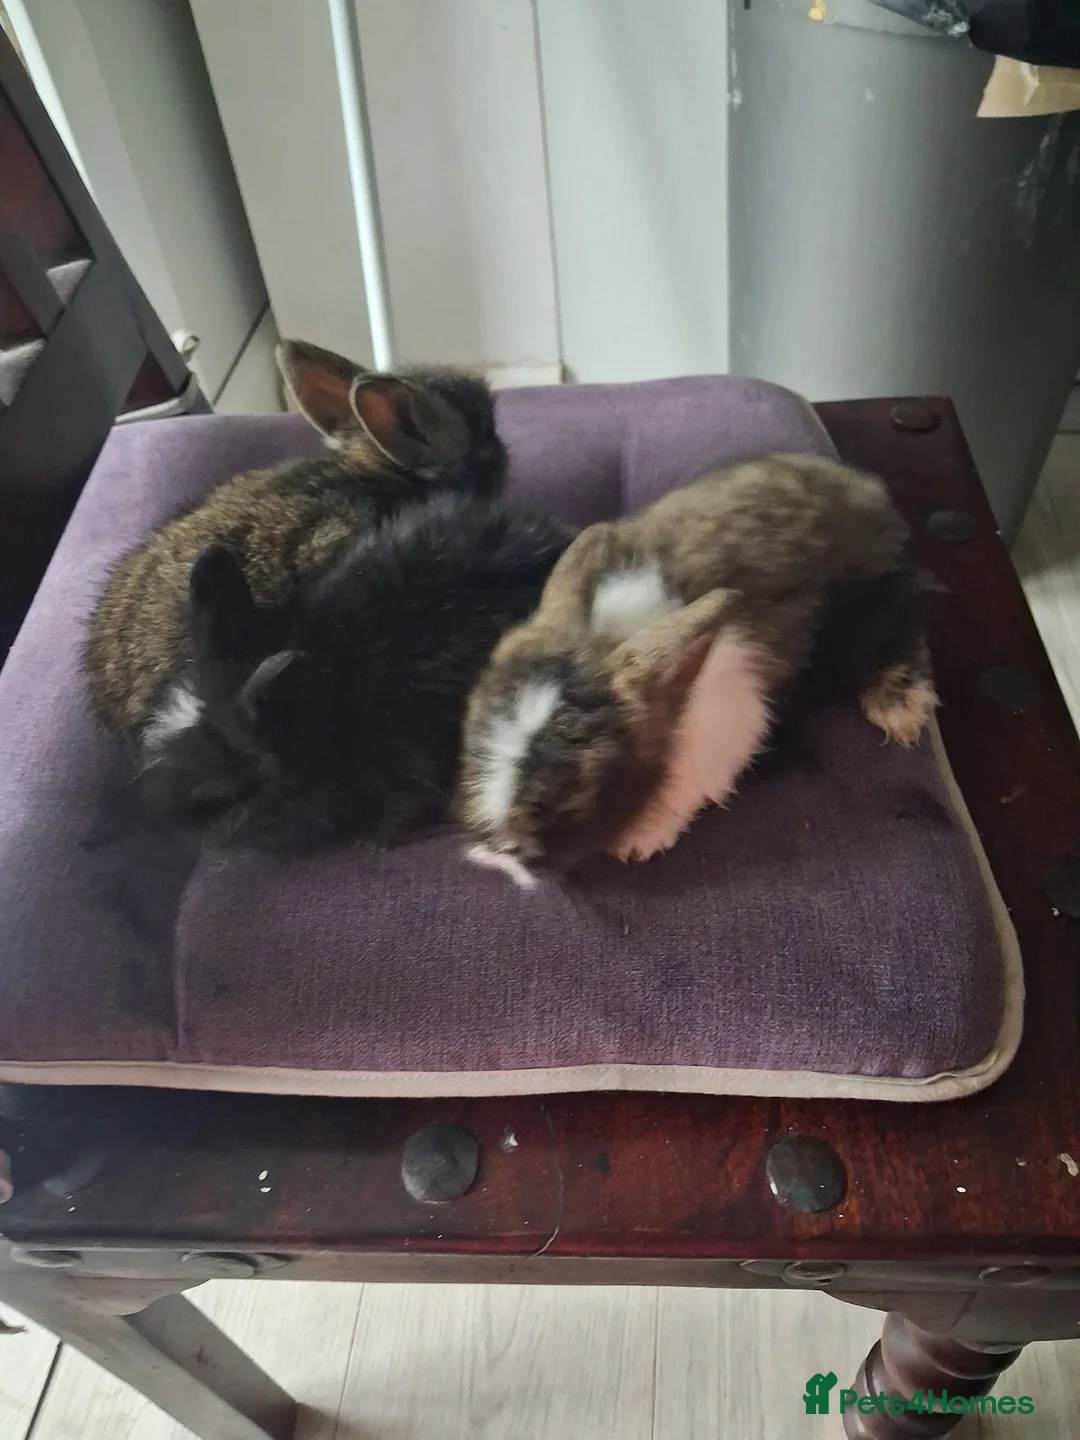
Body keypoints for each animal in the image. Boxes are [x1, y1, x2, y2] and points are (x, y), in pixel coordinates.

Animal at [457, 453, 936, 887]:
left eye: (580, 786)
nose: (499, 854)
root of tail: (876, 496)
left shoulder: (731, 717)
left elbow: (690, 779)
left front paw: (638, 839)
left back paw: (901, 708)